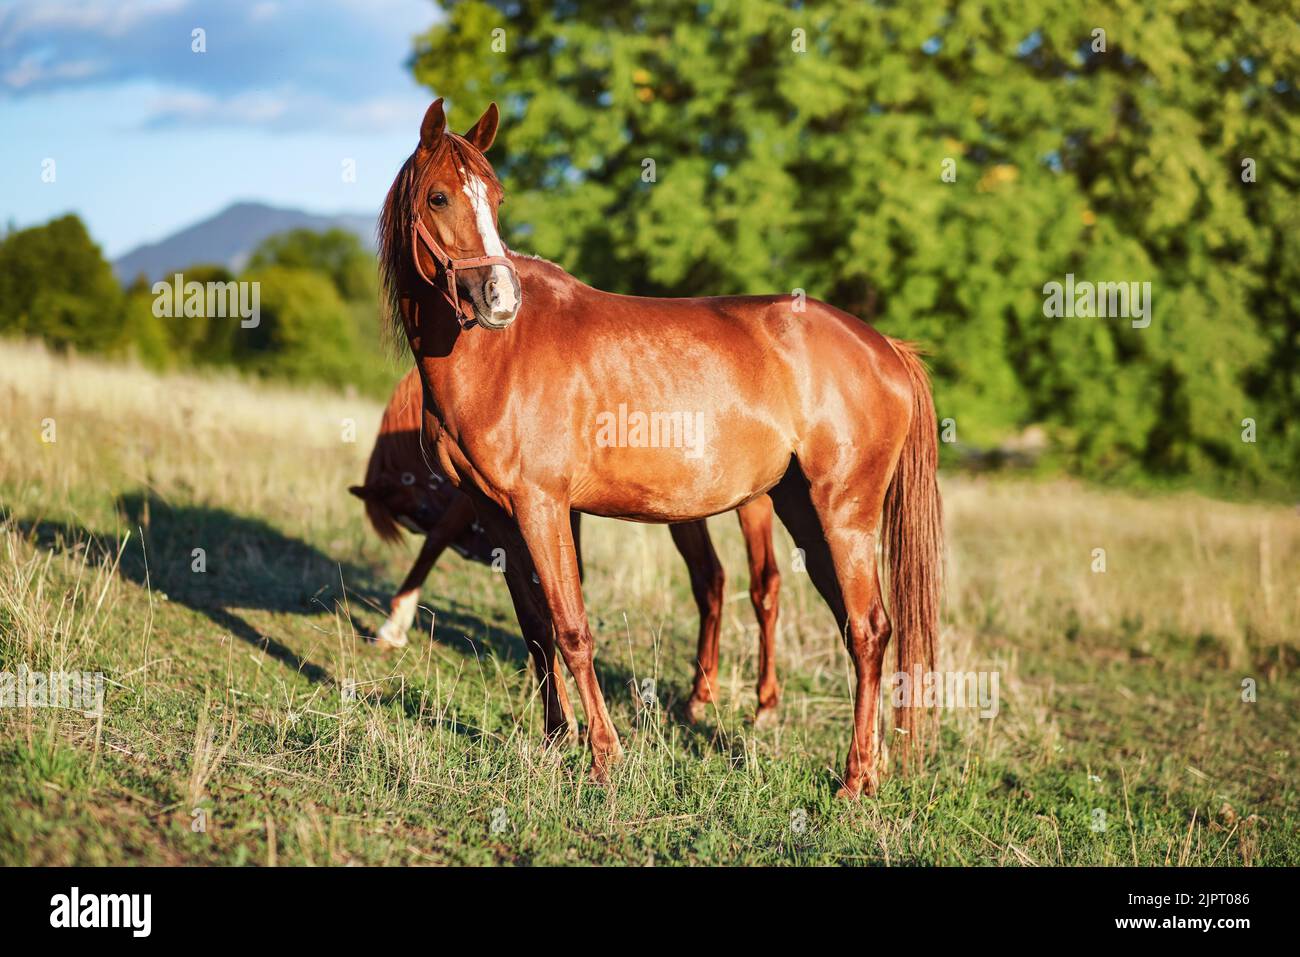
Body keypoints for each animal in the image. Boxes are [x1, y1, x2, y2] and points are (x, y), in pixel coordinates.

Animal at [349, 367, 783, 723]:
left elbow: (439, 539)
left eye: (422, 508)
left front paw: (394, 623)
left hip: (749, 502)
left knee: (764, 583)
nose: (481, 552)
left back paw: (763, 706)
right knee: (710, 578)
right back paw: (700, 696)